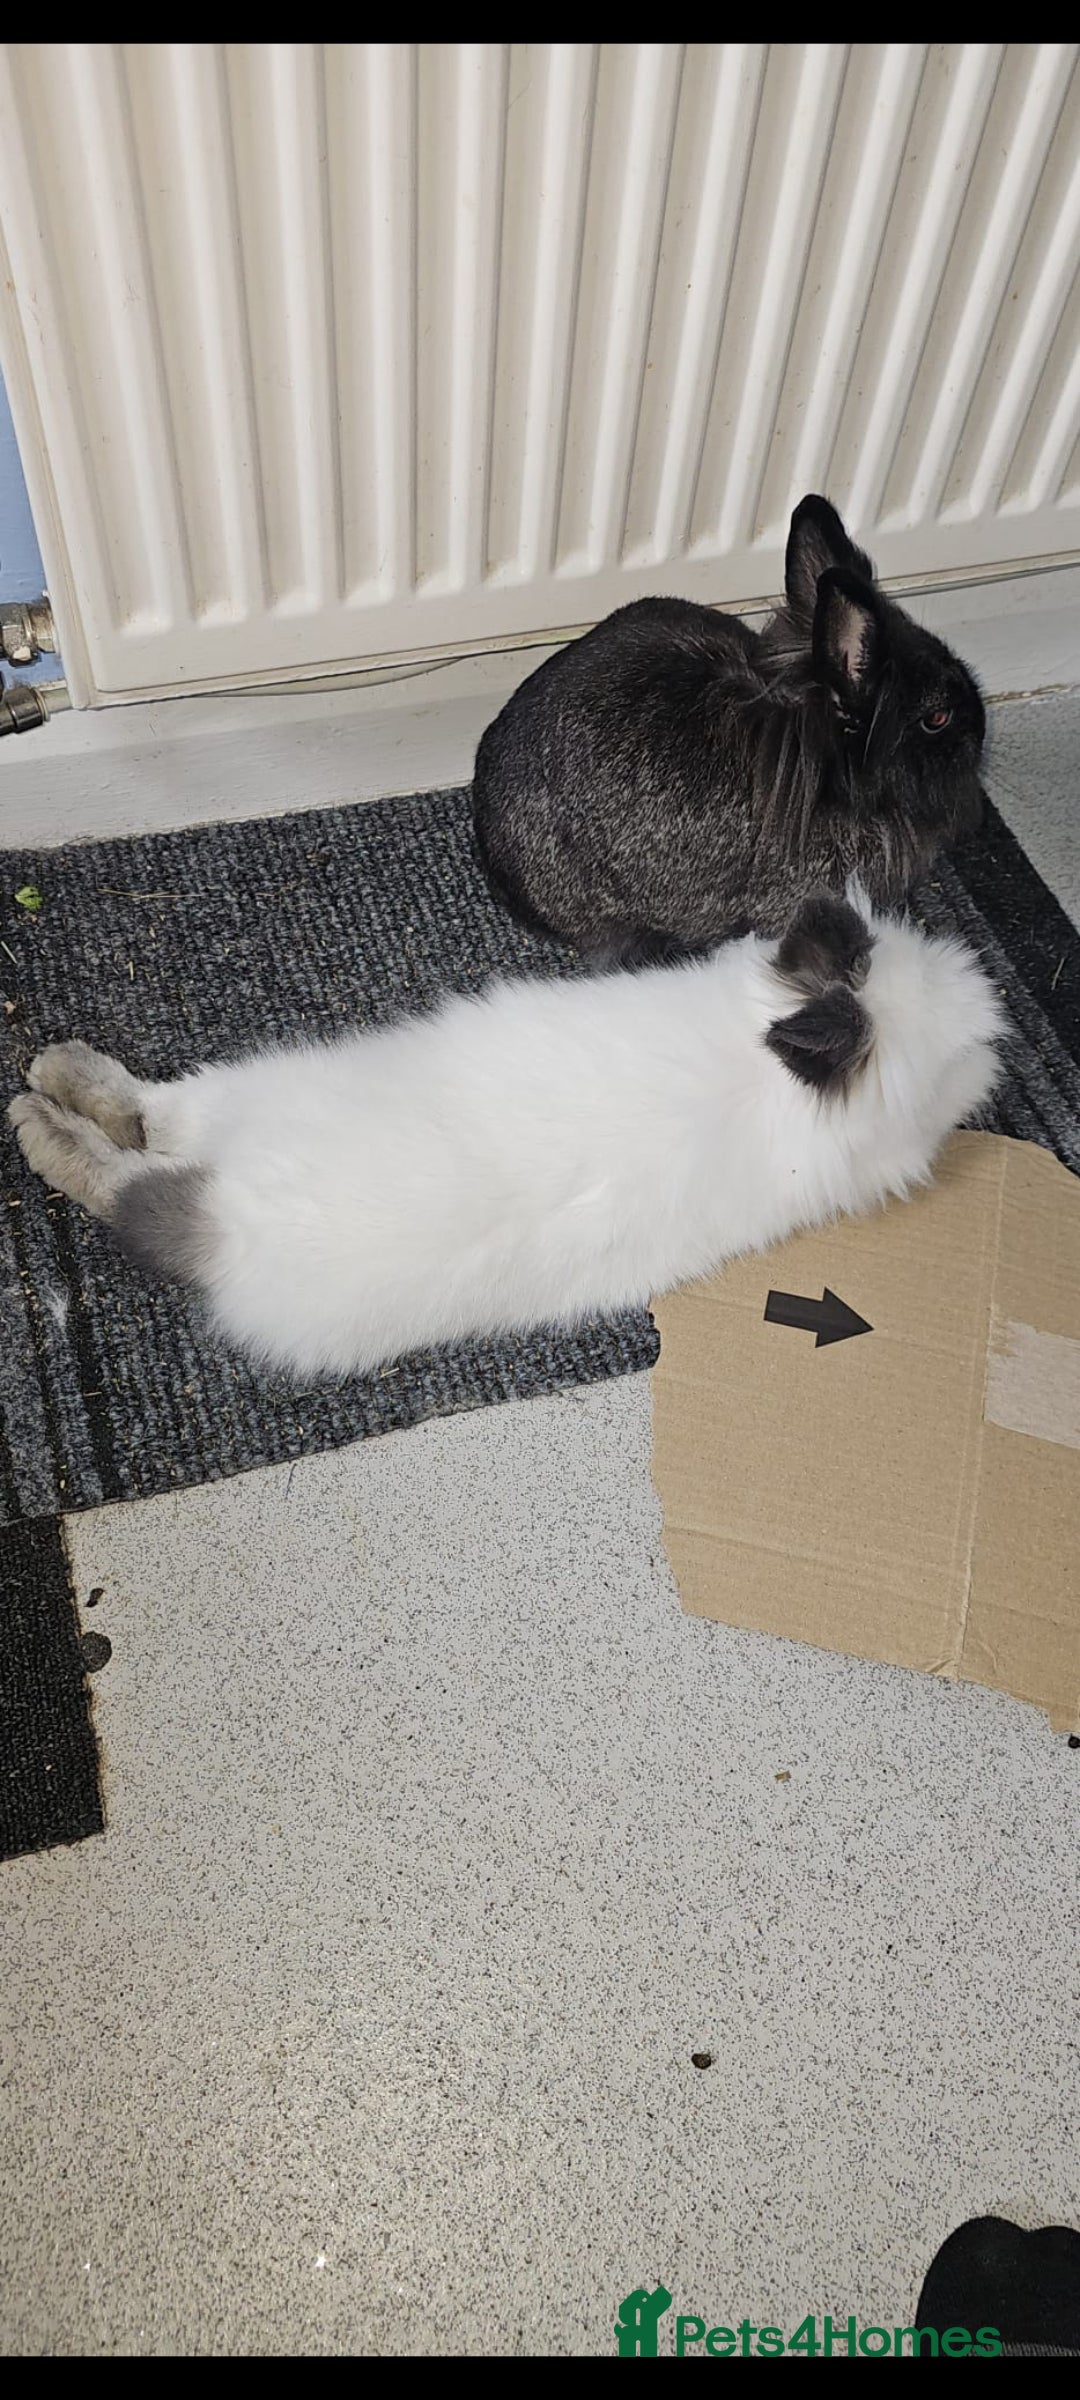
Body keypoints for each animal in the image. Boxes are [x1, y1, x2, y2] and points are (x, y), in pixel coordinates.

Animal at [7, 892, 1003, 1384]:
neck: (764, 1066)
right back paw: (47, 1094)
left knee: (141, 1149)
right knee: (139, 1150)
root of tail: (230, 1214)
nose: (997, 1033)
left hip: (238, 1101)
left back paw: (41, 1104)